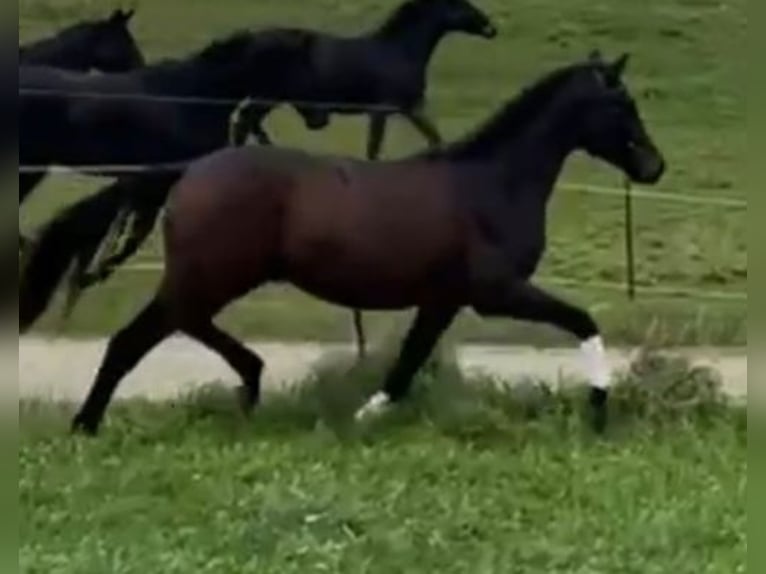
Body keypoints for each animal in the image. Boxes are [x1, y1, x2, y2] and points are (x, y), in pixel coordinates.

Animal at [18, 53, 664, 436]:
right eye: (619, 104)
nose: (653, 166)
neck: (493, 182)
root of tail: (191, 170)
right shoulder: (496, 291)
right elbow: (582, 321)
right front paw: (599, 405)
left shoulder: (444, 298)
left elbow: (406, 364)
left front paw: (361, 417)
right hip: (213, 274)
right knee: (138, 336)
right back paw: (92, 423)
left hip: (215, 276)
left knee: (178, 325)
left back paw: (245, 385)